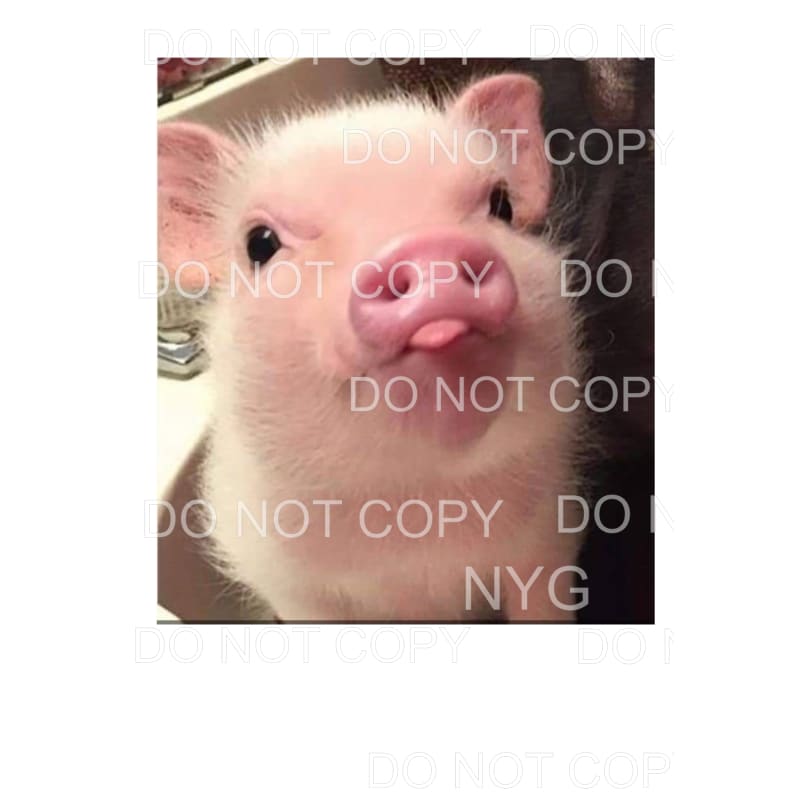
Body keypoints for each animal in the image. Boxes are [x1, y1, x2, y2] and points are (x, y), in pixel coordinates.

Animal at [158, 73, 588, 621]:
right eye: (260, 243)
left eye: (501, 206)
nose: (426, 243)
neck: (414, 503)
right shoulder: (287, 584)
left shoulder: (548, 537)